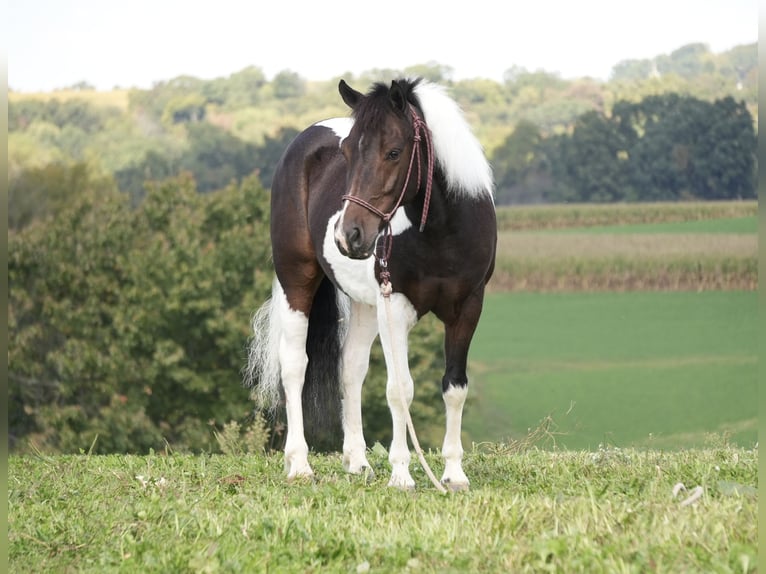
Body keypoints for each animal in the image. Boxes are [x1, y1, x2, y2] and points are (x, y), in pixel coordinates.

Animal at [245, 77, 496, 490]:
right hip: (297, 281)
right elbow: (400, 390)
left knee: (351, 368)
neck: (442, 234)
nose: (348, 235)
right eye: (346, 152)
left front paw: (454, 474)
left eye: (394, 151)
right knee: (294, 364)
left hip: (365, 304)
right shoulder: (396, 307)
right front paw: (402, 474)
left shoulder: (468, 308)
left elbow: (455, 386)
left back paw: (358, 461)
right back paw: (299, 464)